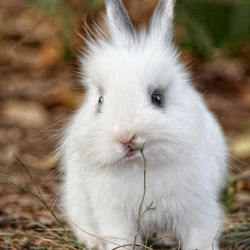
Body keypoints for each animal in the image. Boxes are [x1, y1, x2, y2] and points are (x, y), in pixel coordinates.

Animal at [61, 0, 229, 250]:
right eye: (100, 101)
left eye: (157, 98)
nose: (126, 137)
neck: (141, 167)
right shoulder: (115, 217)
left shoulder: (198, 212)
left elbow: (199, 239)